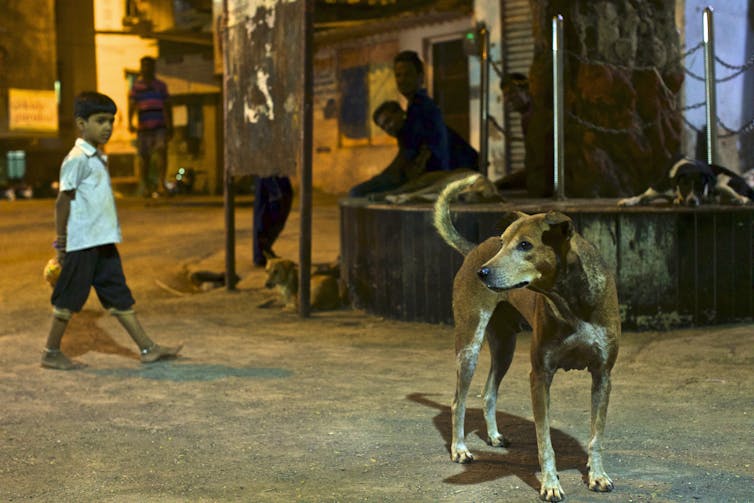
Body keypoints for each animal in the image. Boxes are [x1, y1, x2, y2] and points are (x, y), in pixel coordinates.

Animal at [432, 174, 620, 503]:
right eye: (504, 242)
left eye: (525, 245)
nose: (483, 273)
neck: (571, 302)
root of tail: (474, 250)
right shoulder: (540, 376)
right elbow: (544, 442)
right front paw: (550, 483)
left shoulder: (602, 375)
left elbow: (596, 436)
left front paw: (597, 475)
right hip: (469, 346)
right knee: (458, 401)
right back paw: (460, 449)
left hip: (504, 347)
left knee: (488, 392)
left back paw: (494, 436)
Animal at [616, 156, 752, 207]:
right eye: (685, 186)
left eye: (699, 187)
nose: (692, 202)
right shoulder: (659, 187)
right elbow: (641, 196)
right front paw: (629, 200)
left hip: (723, 183)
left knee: (745, 197)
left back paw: (739, 200)